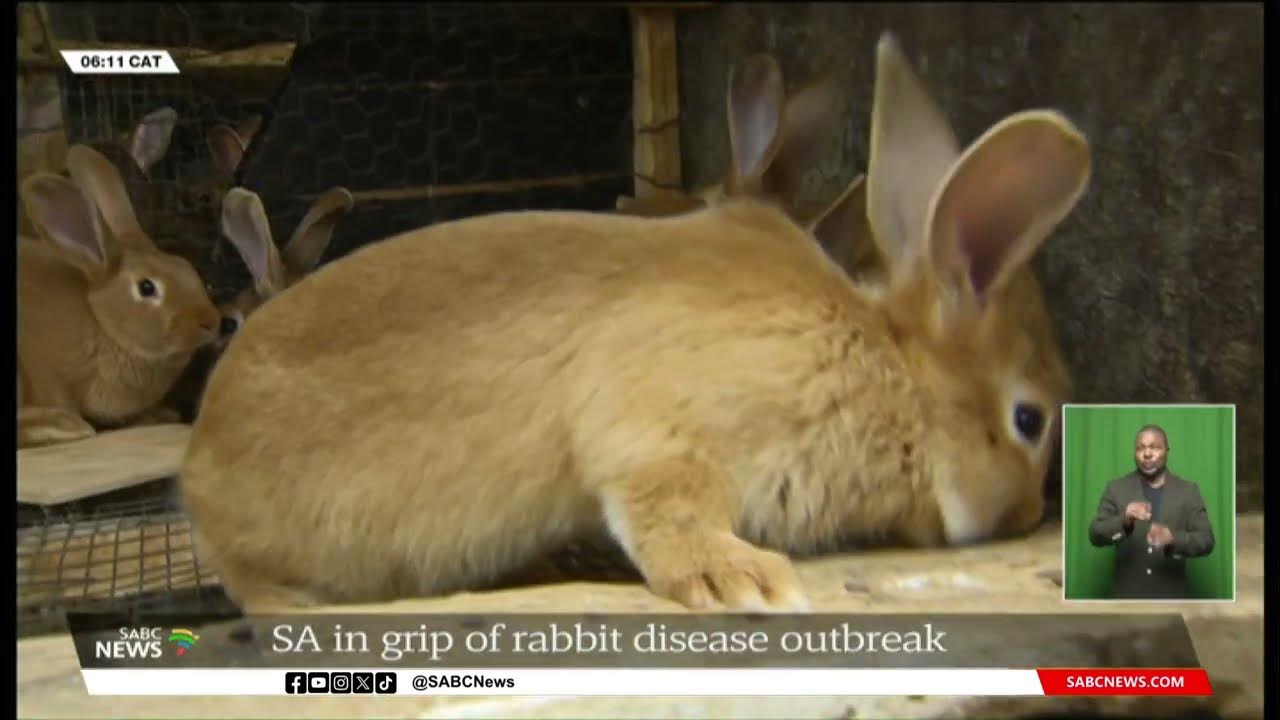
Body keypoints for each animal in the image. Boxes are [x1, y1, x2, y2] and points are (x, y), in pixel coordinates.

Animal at [18, 144, 225, 449]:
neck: (102, 321)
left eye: (187, 268)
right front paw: (69, 424)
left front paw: (157, 416)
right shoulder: (47, 372)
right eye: (147, 287)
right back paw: (60, 427)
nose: (211, 322)